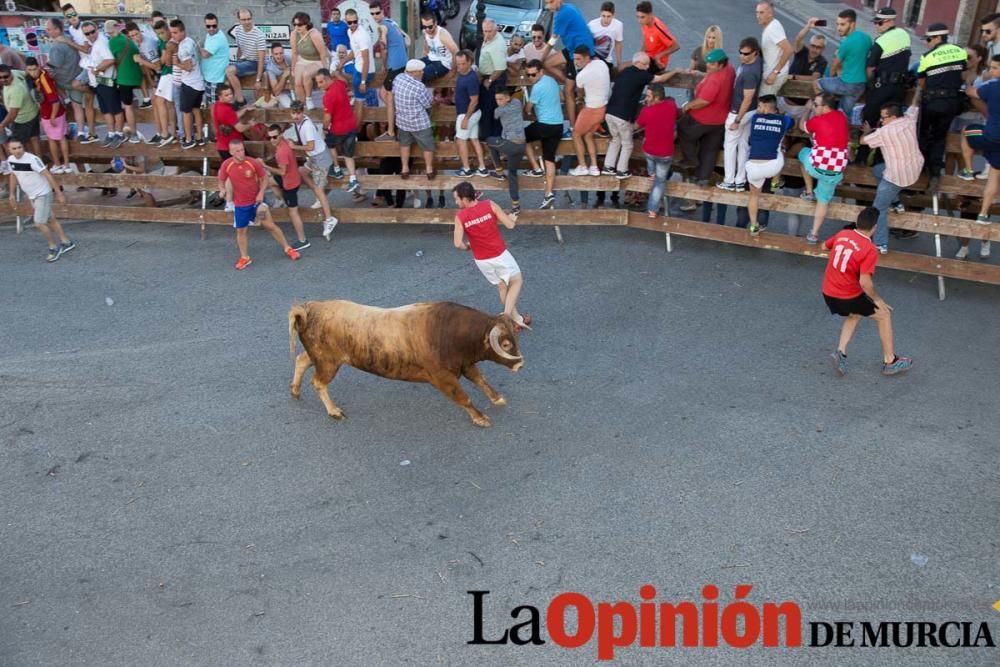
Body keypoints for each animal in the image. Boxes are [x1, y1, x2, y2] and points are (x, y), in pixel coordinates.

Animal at [288, 298, 528, 426]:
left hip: (322, 358)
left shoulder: (465, 364)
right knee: (318, 382)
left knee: (301, 360)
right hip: (328, 362)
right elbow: (464, 397)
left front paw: (497, 398)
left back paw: (295, 391)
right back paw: (334, 411)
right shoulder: (443, 378)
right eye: (505, 344)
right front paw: (480, 418)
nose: (520, 364)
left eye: (515, 338)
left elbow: (481, 380)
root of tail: (308, 309)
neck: (448, 332)